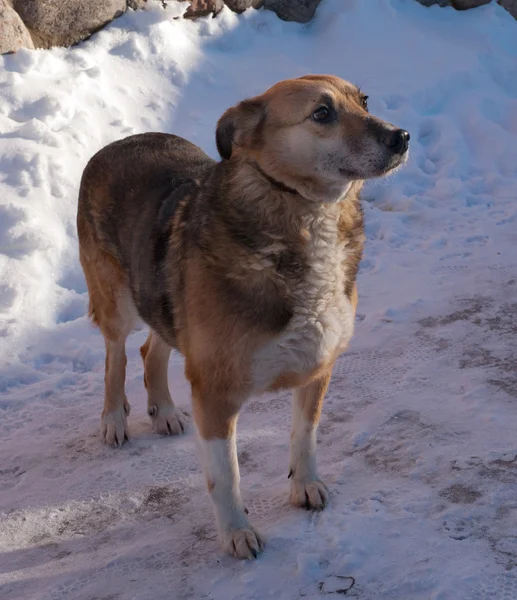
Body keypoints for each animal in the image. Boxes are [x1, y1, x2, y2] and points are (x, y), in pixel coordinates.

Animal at [77, 74, 408, 556]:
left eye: (364, 101)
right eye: (322, 113)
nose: (401, 137)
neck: (306, 216)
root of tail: (117, 143)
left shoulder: (317, 368)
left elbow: (304, 436)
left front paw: (303, 486)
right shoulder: (214, 393)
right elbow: (226, 475)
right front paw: (236, 532)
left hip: (163, 297)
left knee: (151, 348)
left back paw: (164, 409)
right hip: (118, 301)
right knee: (115, 355)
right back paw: (114, 419)